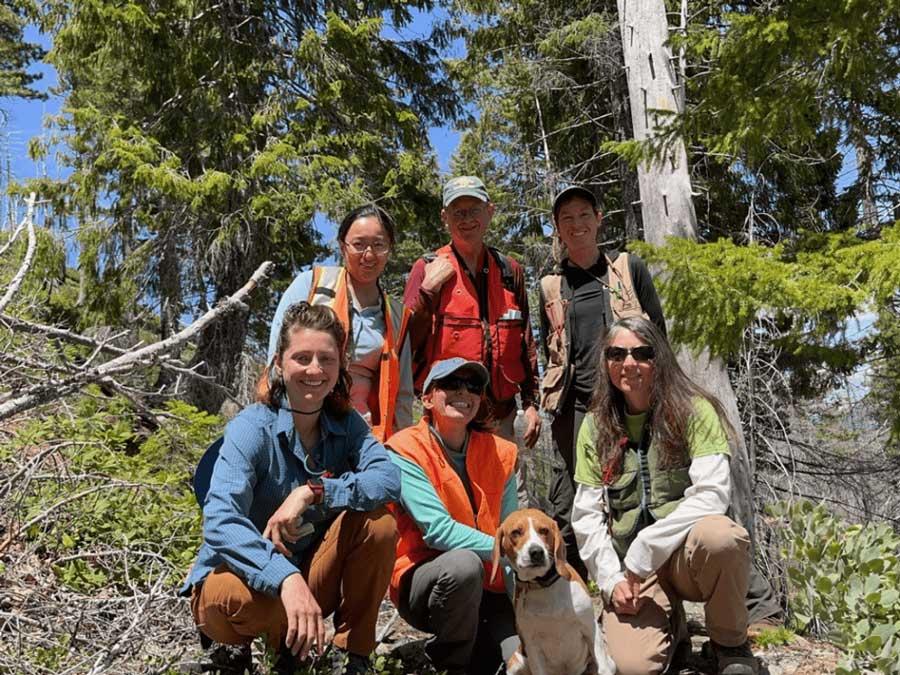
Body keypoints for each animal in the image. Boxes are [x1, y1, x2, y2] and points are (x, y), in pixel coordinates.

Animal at [488, 510, 616, 672]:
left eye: (544, 530)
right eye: (516, 532)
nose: (536, 552)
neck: (542, 587)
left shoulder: (591, 628)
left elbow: (603, 667)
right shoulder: (532, 646)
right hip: (515, 663)